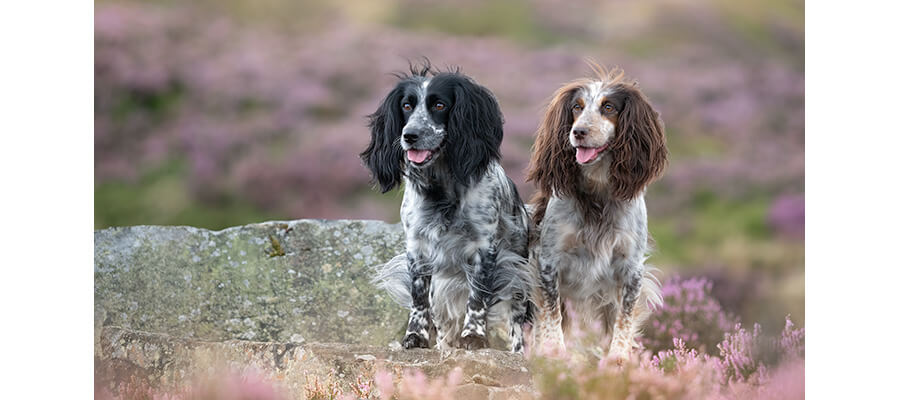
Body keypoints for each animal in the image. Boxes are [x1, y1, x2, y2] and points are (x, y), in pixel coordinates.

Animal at [364, 64, 536, 352]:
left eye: (440, 105)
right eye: (407, 106)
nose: (409, 136)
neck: (442, 189)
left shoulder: (484, 248)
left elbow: (477, 297)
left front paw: (474, 335)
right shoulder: (417, 247)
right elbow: (419, 298)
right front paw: (415, 336)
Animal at [528, 65, 668, 360]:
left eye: (608, 107)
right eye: (577, 107)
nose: (578, 131)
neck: (598, 194)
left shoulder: (631, 268)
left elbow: (623, 321)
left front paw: (618, 360)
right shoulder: (547, 262)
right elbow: (552, 316)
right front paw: (554, 354)